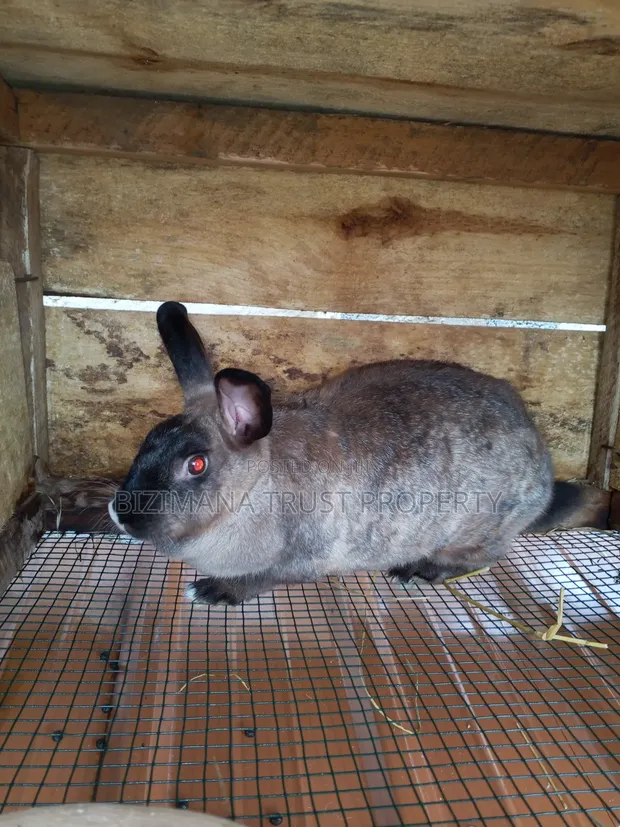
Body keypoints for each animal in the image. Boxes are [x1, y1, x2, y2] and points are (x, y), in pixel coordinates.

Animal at [109, 301, 604, 605]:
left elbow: (260, 580)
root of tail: (543, 470)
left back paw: (417, 571)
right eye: (148, 440)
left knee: (483, 557)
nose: (121, 511)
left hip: (480, 529)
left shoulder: (302, 561)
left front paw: (211, 592)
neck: (255, 491)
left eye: (196, 464)